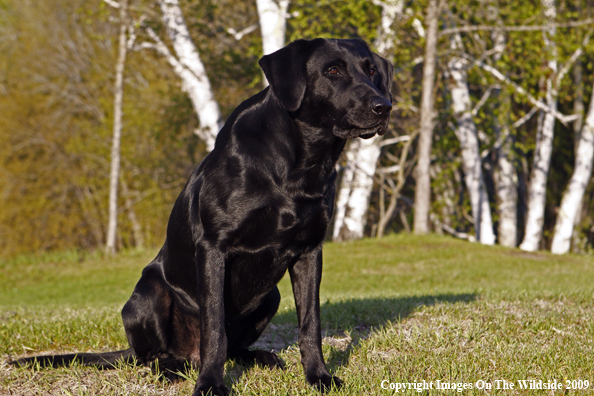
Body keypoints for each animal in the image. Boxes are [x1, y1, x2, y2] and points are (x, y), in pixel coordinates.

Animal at [11, 38, 390, 396]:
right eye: (332, 71)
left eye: (371, 70)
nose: (383, 106)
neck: (299, 165)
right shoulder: (213, 248)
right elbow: (214, 328)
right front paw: (210, 384)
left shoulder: (309, 251)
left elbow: (310, 324)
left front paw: (319, 377)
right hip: (148, 293)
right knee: (154, 356)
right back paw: (171, 367)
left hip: (270, 296)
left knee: (236, 347)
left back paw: (260, 357)